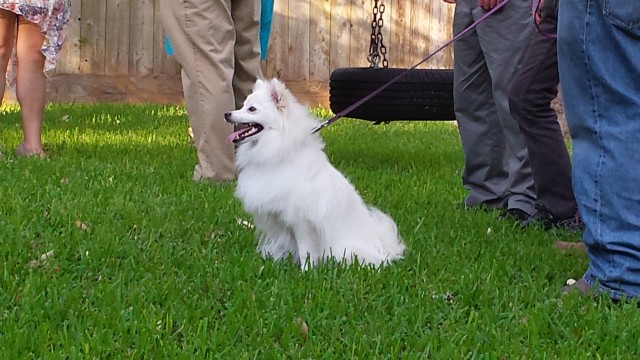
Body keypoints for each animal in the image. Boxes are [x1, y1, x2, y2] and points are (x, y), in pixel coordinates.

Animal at [225, 79, 404, 270]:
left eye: (252, 109)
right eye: (243, 106)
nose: (227, 114)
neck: (280, 150)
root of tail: (382, 252)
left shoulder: (301, 222)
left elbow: (305, 249)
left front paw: (306, 270)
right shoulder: (281, 221)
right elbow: (286, 245)